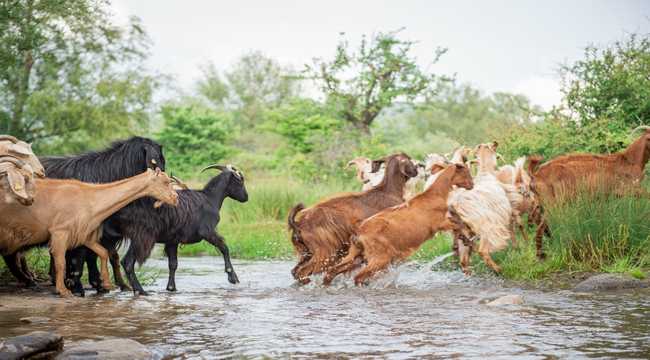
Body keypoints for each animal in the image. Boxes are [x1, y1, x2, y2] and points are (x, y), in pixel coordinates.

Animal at [4, 136, 165, 294]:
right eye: (157, 161)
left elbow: (106, 255)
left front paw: (110, 284)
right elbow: (82, 256)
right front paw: (81, 286)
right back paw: (29, 280)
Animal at [117, 165, 247, 294]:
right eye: (240, 181)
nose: (246, 197)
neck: (210, 199)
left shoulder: (172, 240)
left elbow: (173, 264)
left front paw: (171, 288)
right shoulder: (207, 231)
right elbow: (224, 248)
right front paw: (232, 277)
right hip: (141, 236)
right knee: (127, 262)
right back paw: (140, 291)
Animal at [288, 152, 416, 284]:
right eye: (410, 160)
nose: (417, 168)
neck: (389, 191)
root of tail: (298, 223)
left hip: (307, 252)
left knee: (295, 271)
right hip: (325, 252)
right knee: (303, 272)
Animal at [322, 164, 470, 286]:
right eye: (467, 173)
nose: (471, 185)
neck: (436, 195)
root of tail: (358, 233)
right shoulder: (438, 223)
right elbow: (458, 224)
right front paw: (466, 239)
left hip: (356, 254)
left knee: (333, 270)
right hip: (380, 256)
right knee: (359, 276)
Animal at [528, 125, 648, 258]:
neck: (629, 160)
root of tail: (535, 174)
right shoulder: (629, 189)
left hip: (542, 203)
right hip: (554, 204)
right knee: (542, 227)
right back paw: (542, 255)